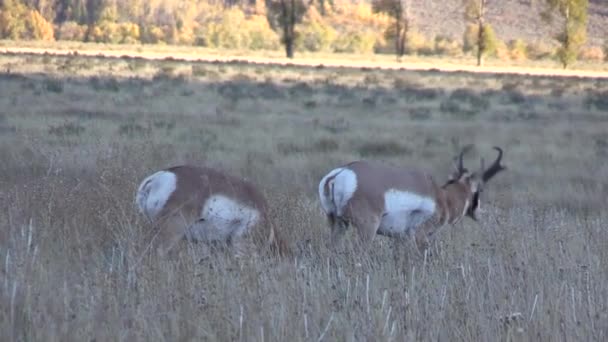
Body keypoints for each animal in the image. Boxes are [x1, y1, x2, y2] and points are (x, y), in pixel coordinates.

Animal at [316, 146, 506, 252]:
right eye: (479, 190)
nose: (480, 213)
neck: (441, 197)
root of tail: (341, 173)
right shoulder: (420, 236)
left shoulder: (400, 239)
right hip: (367, 228)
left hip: (337, 224)